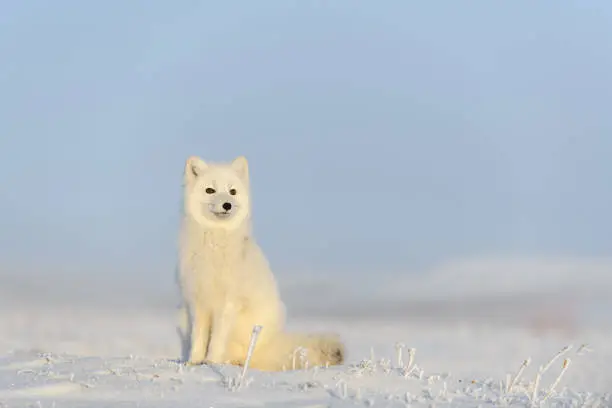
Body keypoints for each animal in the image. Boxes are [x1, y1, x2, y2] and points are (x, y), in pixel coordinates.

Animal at [176, 155, 344, 370]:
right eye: (210, 190)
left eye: (232, 191)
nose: (227, 204)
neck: (216, 243)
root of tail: (274, 344)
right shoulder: (197, 300)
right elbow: (198, 337)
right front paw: (194, 361)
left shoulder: (227, 302)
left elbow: (217, 339)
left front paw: (212, 361)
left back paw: (235, 361)